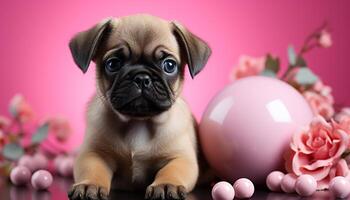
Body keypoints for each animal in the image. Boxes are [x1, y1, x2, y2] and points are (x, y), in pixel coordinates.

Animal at [67, 14, 211, 200]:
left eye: (169, 65)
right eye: (113, 64)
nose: (142, 77)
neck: (138, 122)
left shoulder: (181, 158)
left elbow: (172, 170)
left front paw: (165, 185)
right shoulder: (94, 153)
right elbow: (92, 169)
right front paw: (89, 185)